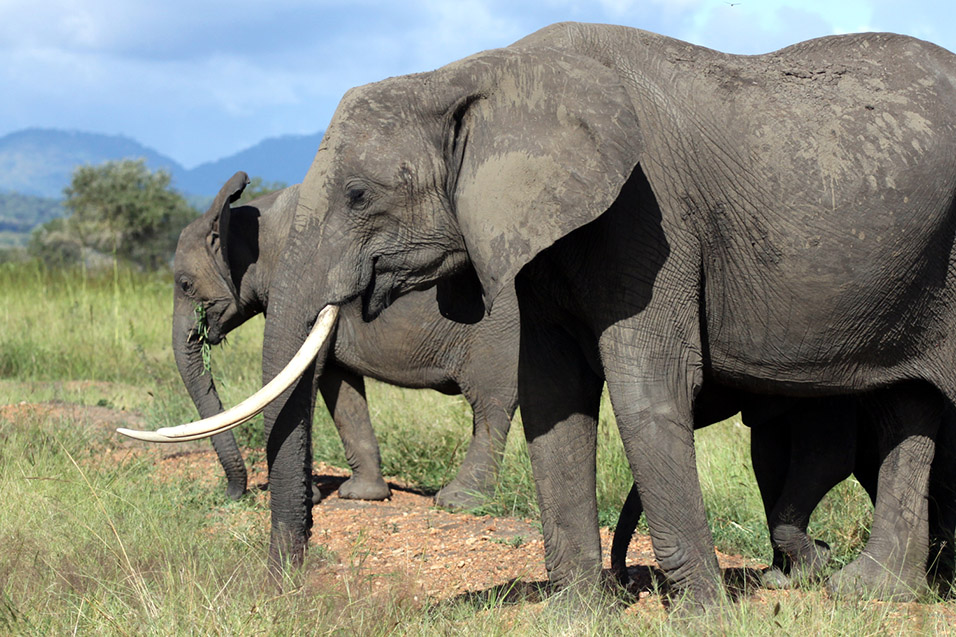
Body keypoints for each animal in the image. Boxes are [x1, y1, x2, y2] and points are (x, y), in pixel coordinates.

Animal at [168, 171, 520, 510]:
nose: (232, 495)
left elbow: (306, 379)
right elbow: (339, 385)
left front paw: (310, 499)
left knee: (490, 405)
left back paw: (458, 503)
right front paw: (363, 496)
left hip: (500, 329)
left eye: (185, 284)